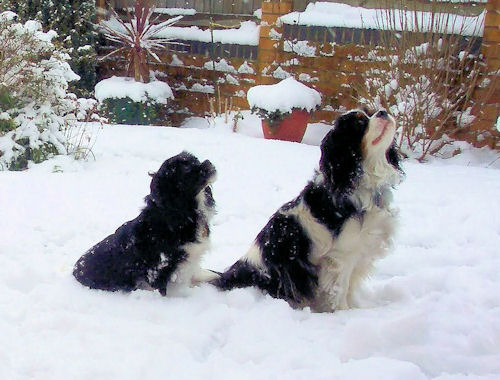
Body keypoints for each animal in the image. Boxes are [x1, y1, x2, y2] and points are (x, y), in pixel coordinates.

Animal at [210, 108, 402, 310]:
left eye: (372, 113)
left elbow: (349, 287)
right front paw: (344, 313)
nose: (383, 111)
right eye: (359, 123)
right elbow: (340, 290)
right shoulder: (342, 255)